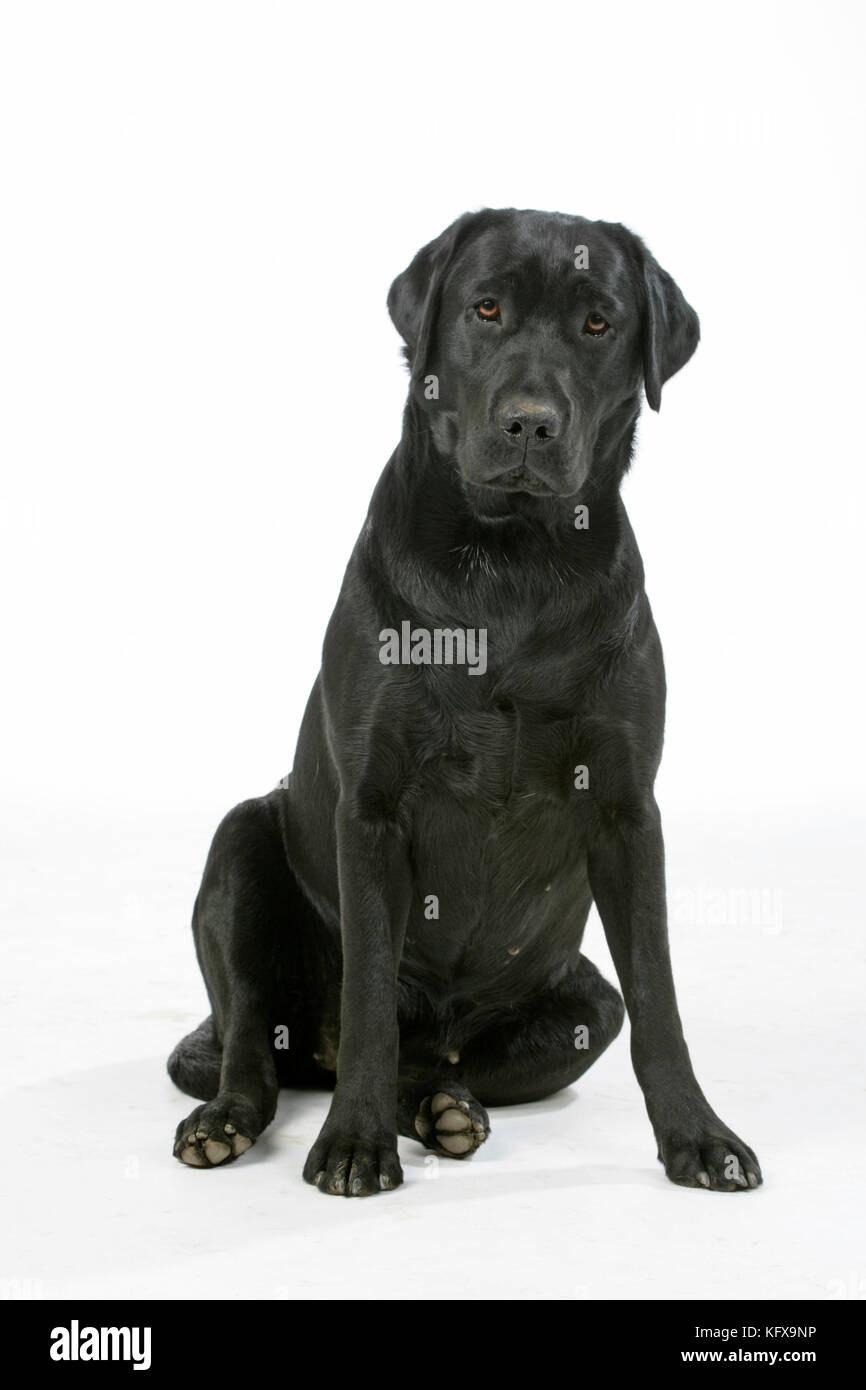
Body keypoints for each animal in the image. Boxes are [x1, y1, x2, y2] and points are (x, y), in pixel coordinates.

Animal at [169, 202, 767, 1195]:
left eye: (598, 323)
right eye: (486, 308)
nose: (531, 423)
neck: (511, 563)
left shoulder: (625, 809)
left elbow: (660, 998)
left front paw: (699, 1136)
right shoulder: (371, 808)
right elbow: (370, 992)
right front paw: (354, 1144)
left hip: (582, 1004)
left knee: (457, 1060)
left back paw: (445, 1112)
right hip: (242, 844)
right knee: (256, 1038)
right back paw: (233, 1120)